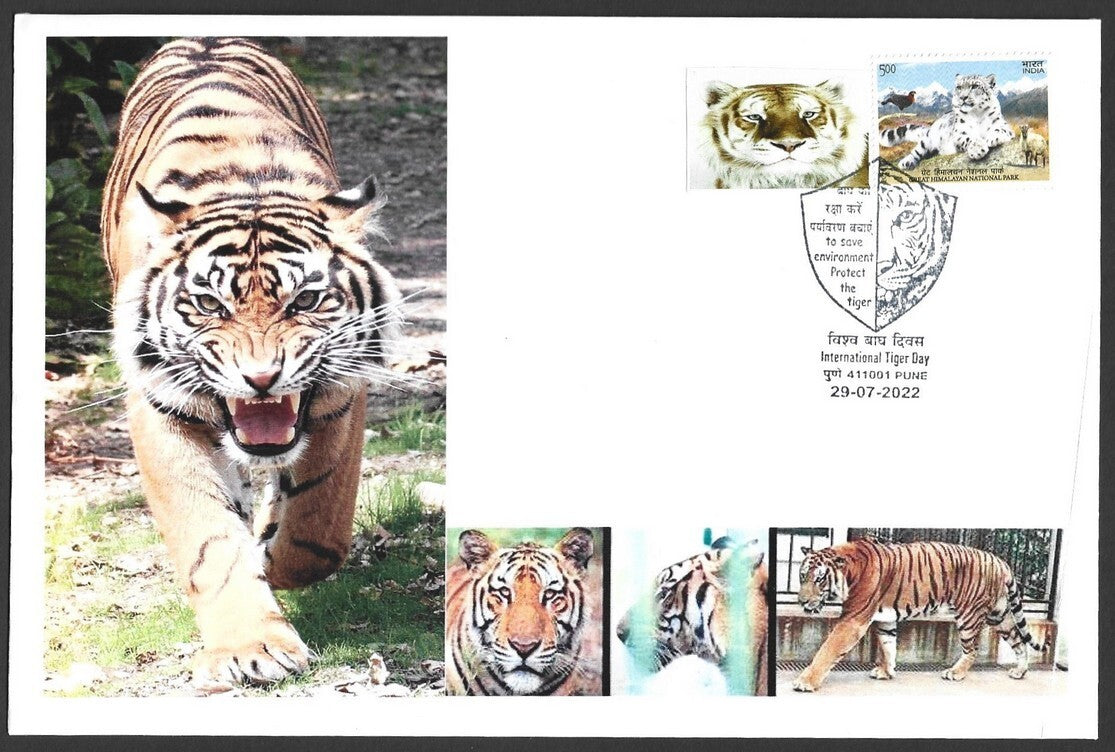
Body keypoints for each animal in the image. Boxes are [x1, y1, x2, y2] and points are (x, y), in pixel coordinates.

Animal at [99, 38, 402, 686]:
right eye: (211, 305)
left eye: (305, 300)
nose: (261, 379)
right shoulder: (158, 406)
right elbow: (209, 540)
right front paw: (250, 646)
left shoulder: (342, 396)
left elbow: (319, 526)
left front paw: (276, 559)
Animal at [792, 539, 1047, 693]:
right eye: (803, 575)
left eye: (819, 579)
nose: (802, 601)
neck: (849, 573)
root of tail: (1001, 561)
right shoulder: (885, 620)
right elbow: (888, 646)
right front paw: (886, 672)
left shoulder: (852, 621)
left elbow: (827, 651)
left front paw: (806, 682)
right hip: (1000, 615)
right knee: (1018, 639)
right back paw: (1019, 671)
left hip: (969, 616)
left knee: (973, 649)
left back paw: (955, 673)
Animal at [880, 74, 1014, 171]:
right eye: (959, 87)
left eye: (975, 86)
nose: (963, 97)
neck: (977, 114)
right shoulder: (958, 134)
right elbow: (970, 138)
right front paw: (977, 149)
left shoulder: (1005, 127)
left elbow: (1000, 129)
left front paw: (993, 137)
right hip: (926, 141)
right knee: (916, 151)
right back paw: (906, 162)